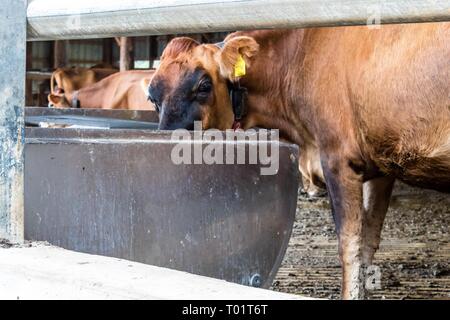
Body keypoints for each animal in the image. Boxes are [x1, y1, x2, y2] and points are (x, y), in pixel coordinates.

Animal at [146, 23, 448, 300]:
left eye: (204, 86)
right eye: (152, 98)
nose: (166, 140)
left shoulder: (337, 158)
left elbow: (349, 245)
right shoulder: (382, 166)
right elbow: (368, 242)